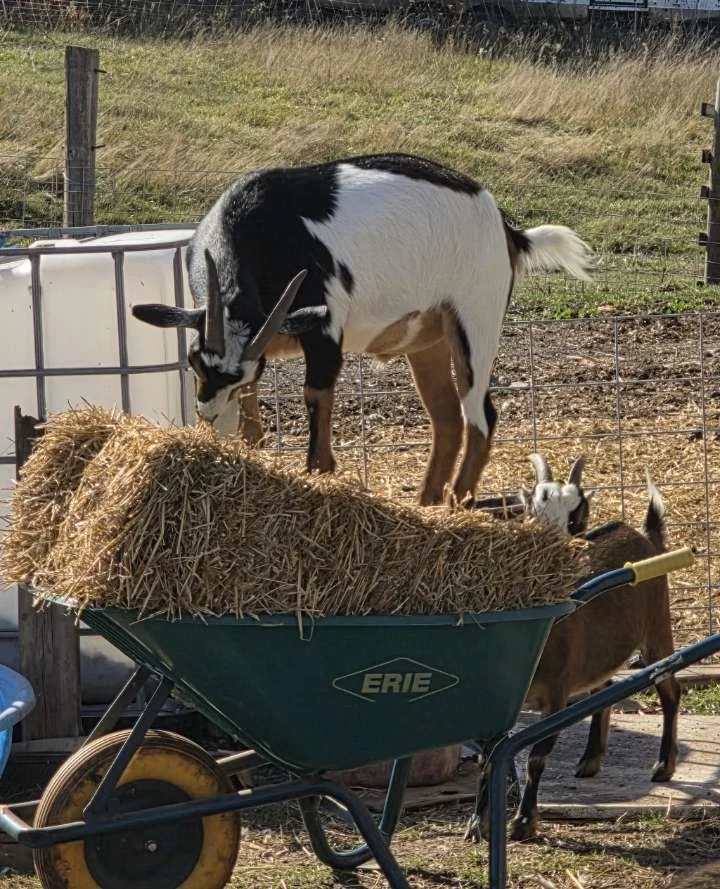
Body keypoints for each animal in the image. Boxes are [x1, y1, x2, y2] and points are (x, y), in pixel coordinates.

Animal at [131, 153, 593, 505]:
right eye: (193, 360)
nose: (207, 411)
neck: (263, 225)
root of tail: (507, 229)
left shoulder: (324, 333)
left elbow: (317, 418)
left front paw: (320, 478)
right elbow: (253, 432)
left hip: (476, 322)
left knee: (481, 418)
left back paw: (456, 509)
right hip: (427, 340)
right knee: (447, 419)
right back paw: (426, 505)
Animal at [466, 473, 681, 843]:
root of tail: (647, 536)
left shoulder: (556, 697)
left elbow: (536, 758)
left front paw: (523, 822)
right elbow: (488, 759)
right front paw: (478, 824)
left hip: (657, 629)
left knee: (670, 690)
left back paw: (664, 766)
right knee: (603, 689)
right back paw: (591, 759)